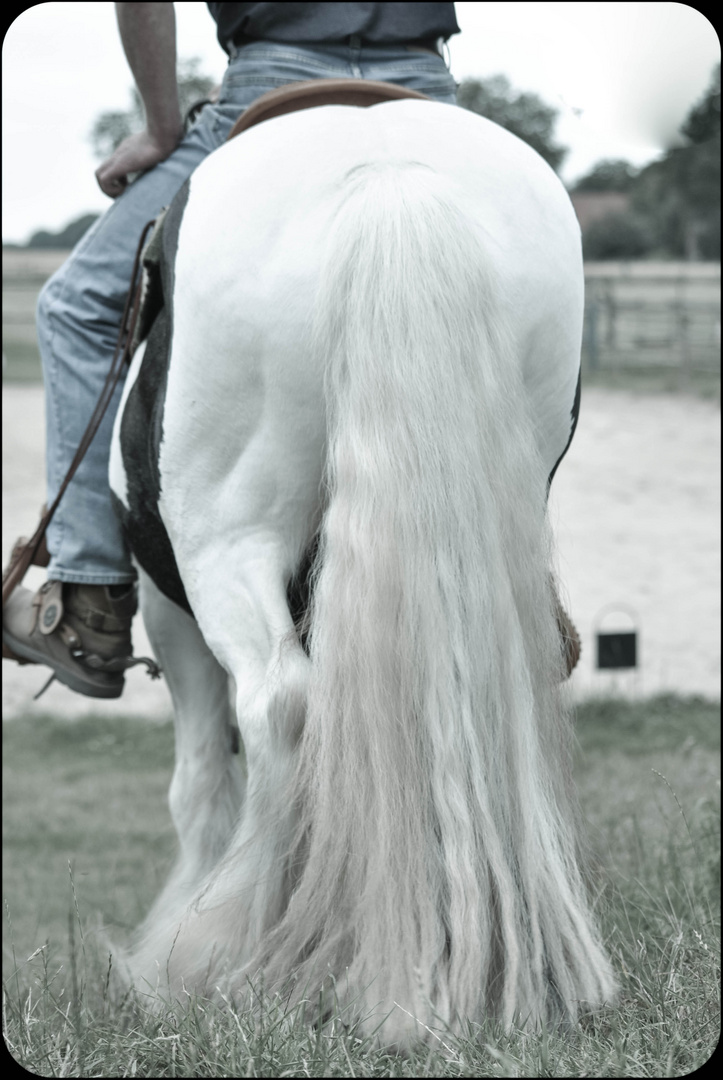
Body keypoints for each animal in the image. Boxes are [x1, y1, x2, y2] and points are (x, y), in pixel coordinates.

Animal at [108, 99, 613, 1045]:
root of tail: (388, 174)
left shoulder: (168, 607)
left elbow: (201, 780)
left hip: (224, 542)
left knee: (279, 708)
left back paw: (229, 954)